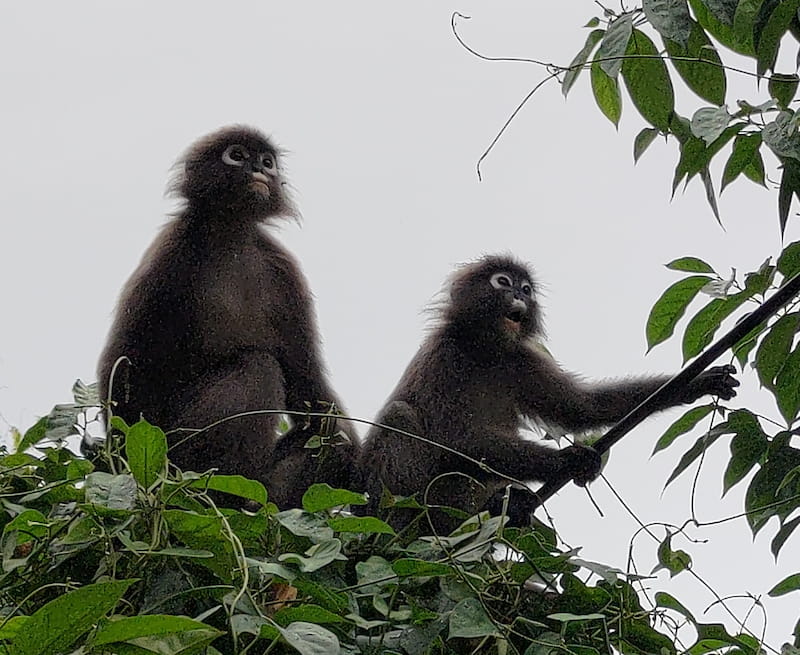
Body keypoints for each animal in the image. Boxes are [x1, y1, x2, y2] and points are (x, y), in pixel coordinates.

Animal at [96, 125, 357, 508]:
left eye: (267, 161)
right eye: (237, 156)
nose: (261, 170)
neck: (230, 236)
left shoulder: (285, 273)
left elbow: (308, 387)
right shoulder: (171, 253)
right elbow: (123, 368)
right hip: (179, 442)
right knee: (257, 366)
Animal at [359, 254, 739, 532]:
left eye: (526, 289)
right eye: (503, 282)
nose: (519, 296)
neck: (486, 351)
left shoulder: (520, 359)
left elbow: (581, 408)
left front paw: (698, 383)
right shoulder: (445, 355)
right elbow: (456, 438)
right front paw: (567, 461)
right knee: (399, 414)